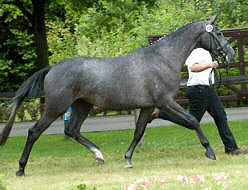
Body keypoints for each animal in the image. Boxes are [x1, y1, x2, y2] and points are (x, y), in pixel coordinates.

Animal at [0, 14, 234, 176]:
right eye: (218, 33)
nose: (230, 54)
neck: (163, 58)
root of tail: (52, 68)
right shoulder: (165, 101)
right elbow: (193, 120)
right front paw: (209, 151)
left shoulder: (148, 106)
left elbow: (139, 132)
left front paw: (128, 159)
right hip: (55, 107)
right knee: (34, 132)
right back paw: (21, 168)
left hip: (82, 105)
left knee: (72, 130)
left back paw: (99, 156)